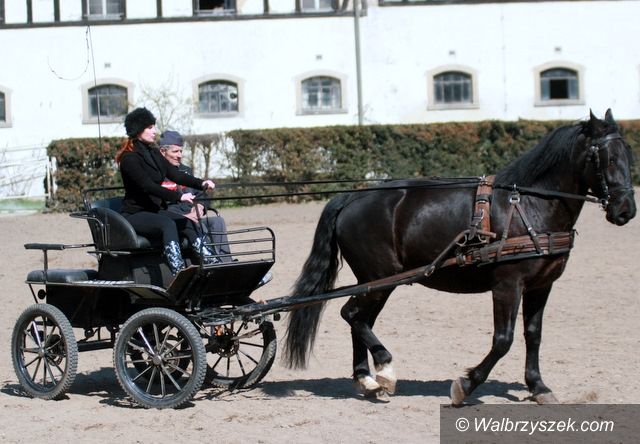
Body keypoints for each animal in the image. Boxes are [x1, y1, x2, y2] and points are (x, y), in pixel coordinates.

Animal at [283, 109, 636, 405]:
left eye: (628, 155)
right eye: (604, 157)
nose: (626, 211)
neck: (530, 205)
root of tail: (350, 198)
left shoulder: (541, 285)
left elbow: (533, 335)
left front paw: (538, 386)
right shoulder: (508, 285)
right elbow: (503, 340)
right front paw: (466, 385)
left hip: (377, 282)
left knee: (359, 319)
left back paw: (368, 380)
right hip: (379, 277)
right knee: (353, 315)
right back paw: (385, 367)